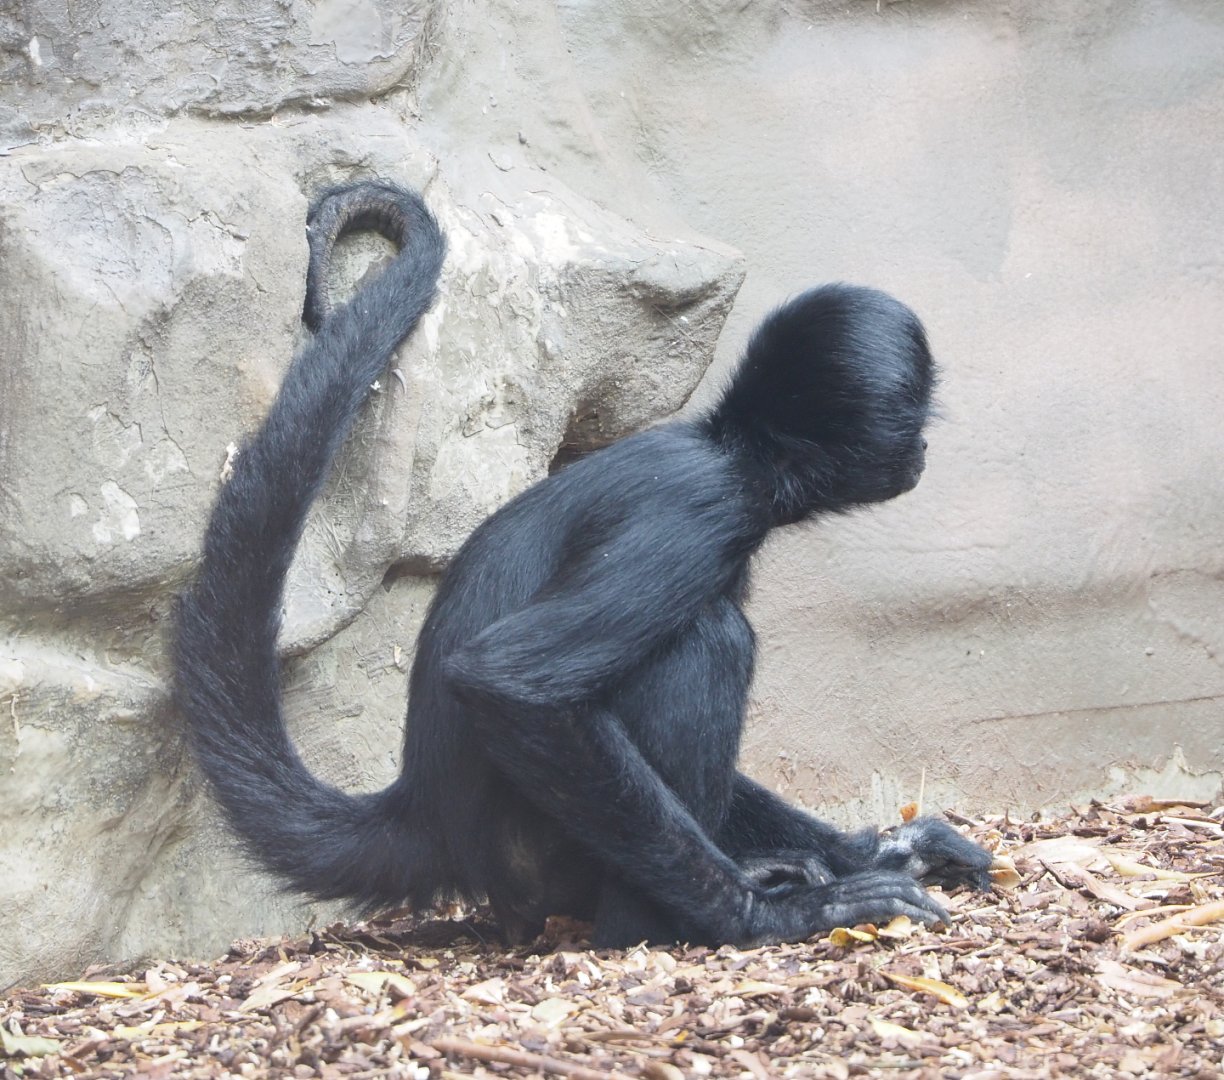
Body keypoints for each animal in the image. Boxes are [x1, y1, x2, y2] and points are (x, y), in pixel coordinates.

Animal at [175, 179, 992, 949]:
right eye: (914, 416)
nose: (922, 449)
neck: (728, 451)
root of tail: (427, 812)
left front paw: (887, 851)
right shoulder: (699, 511)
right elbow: (511, 681)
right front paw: (770, 916)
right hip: (538, 853)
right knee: (710, 637)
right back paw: (658, 922)